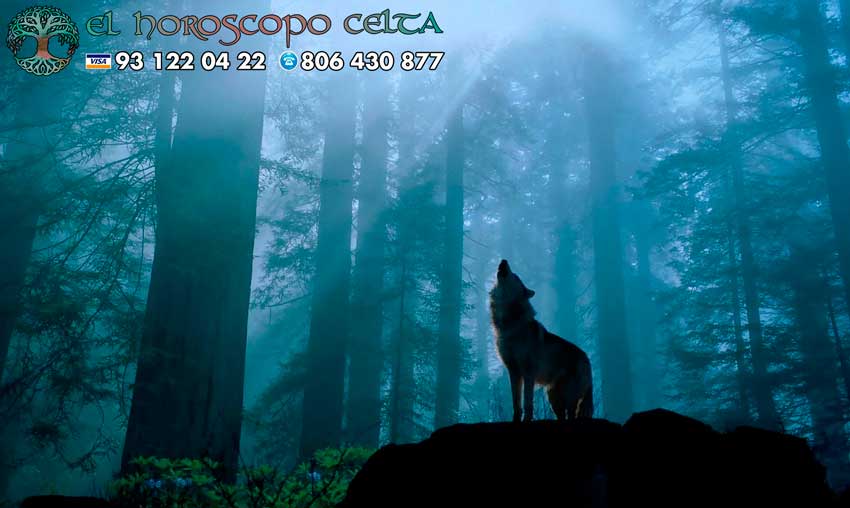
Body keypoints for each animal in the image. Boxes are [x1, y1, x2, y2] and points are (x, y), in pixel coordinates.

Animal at [490, 259, 593, 422]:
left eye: (516, 276)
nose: (504, 260)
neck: (510, 323)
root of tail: (587, 359)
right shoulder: (513, 372)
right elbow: (516, 404)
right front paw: (515, 420)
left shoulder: (528, 373)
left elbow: (527, 403)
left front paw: (526, 420)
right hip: (553, 398)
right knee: (562, 416)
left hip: (569, 398)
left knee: (571, 415)